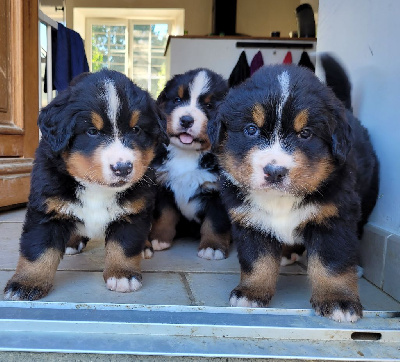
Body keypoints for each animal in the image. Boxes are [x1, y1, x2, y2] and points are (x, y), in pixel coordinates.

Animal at [2, 68, 167, 300]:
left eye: (136, 130)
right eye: (92, 132)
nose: (123, 167)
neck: (96, 188)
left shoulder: (133, 212)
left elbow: (124, 246)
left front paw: (122, 274)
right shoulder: (47, 210)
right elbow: (38, 250)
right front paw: (26, 283)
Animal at [149, 68, 231, 260]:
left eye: (209, 106)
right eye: (177, 100)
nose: (186, 120)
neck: (186, 155)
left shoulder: (218, 193)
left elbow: (215, 223)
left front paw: (212, 247)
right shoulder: (163, 186)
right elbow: (163, 216)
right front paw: (158, 239)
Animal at [211, 55, 380, 320]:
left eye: (306, 134)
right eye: (251, 129)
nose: (274, 171)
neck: (280, 199)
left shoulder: (334, 218)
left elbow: (333, 264)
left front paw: (339, 301)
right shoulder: (250, 219)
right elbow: (256, 260)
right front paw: (251, 292)